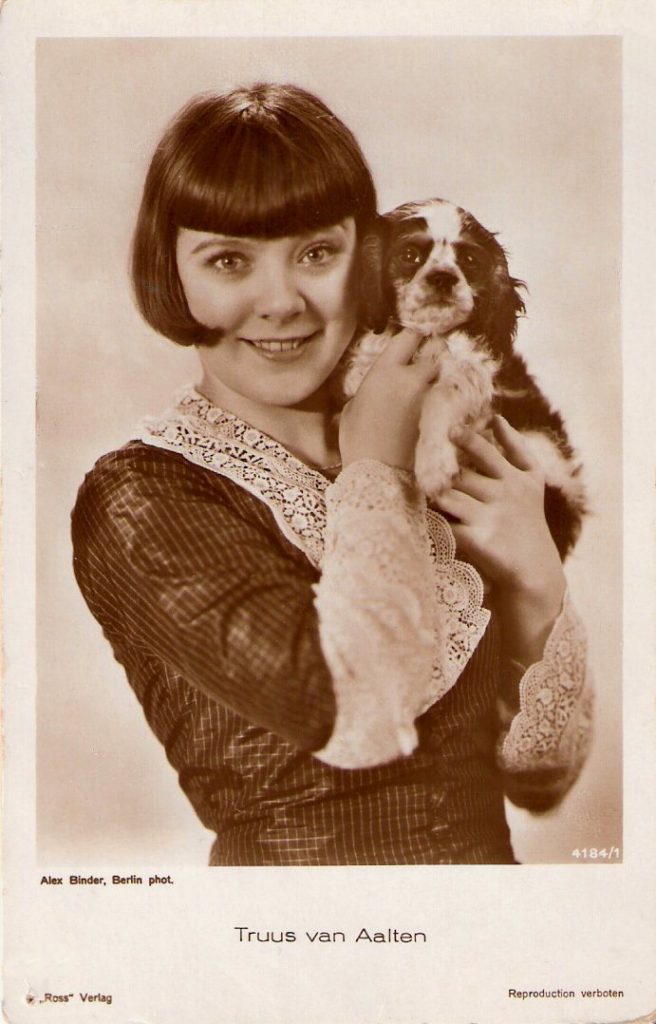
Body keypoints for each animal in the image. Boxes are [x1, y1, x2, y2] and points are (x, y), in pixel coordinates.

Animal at [342, 198, 586, 560]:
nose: (443, 277)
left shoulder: (478, 375)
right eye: (410, 255)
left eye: (469, 260)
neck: (430, 335)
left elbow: (441, 393)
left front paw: (433, 464)